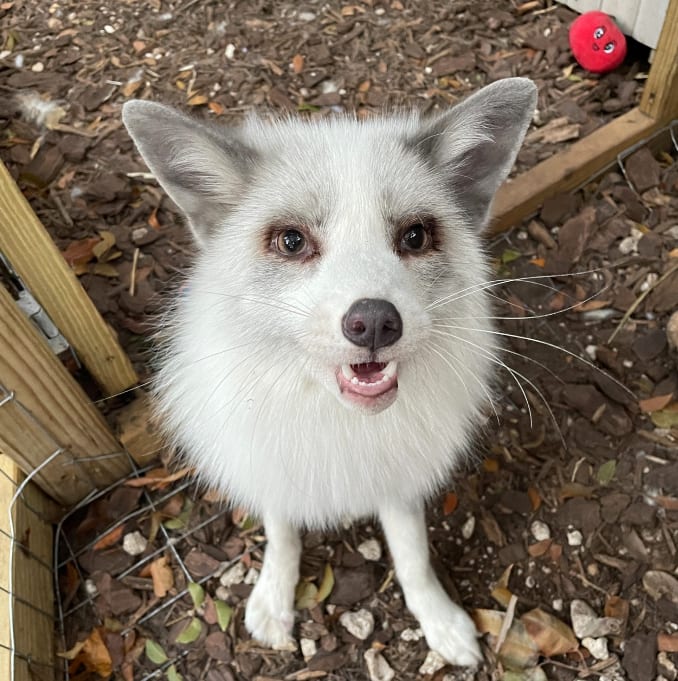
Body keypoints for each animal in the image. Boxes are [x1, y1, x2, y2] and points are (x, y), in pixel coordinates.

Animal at [122, 77, 537, 668]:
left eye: (415, 236)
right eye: (292, 241)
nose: (374, 323)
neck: (340, 423)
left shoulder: (399, 480)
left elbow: (413, 557)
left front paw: (440, 620)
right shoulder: (273, 470)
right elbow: (282, 537)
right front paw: (273, 599)